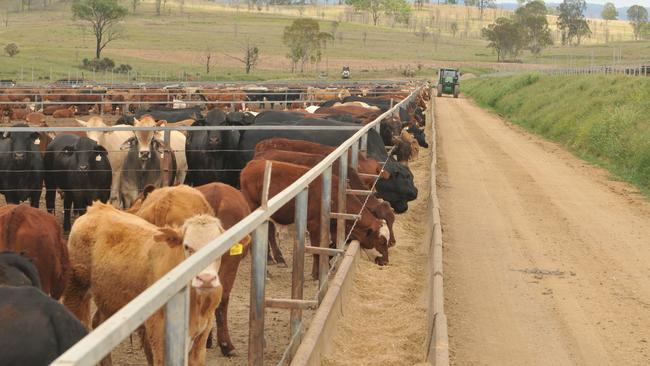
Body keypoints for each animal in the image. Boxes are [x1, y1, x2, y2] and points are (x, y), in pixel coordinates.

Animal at [63, 203, 225, 366]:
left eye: (219, 247)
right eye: (187, 246)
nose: (206, 279)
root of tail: (97, 208)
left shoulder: (202, 336)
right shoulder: (159, 332)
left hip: (109, 298)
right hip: (76, 290)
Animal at [239, 160, 388, 280]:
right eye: (381, 241)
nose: (386, 262)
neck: (333, 197)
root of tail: (252, 164)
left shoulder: (332, 227)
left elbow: (329, 246)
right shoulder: (314, 224)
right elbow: (317, 248)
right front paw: (317, 274)